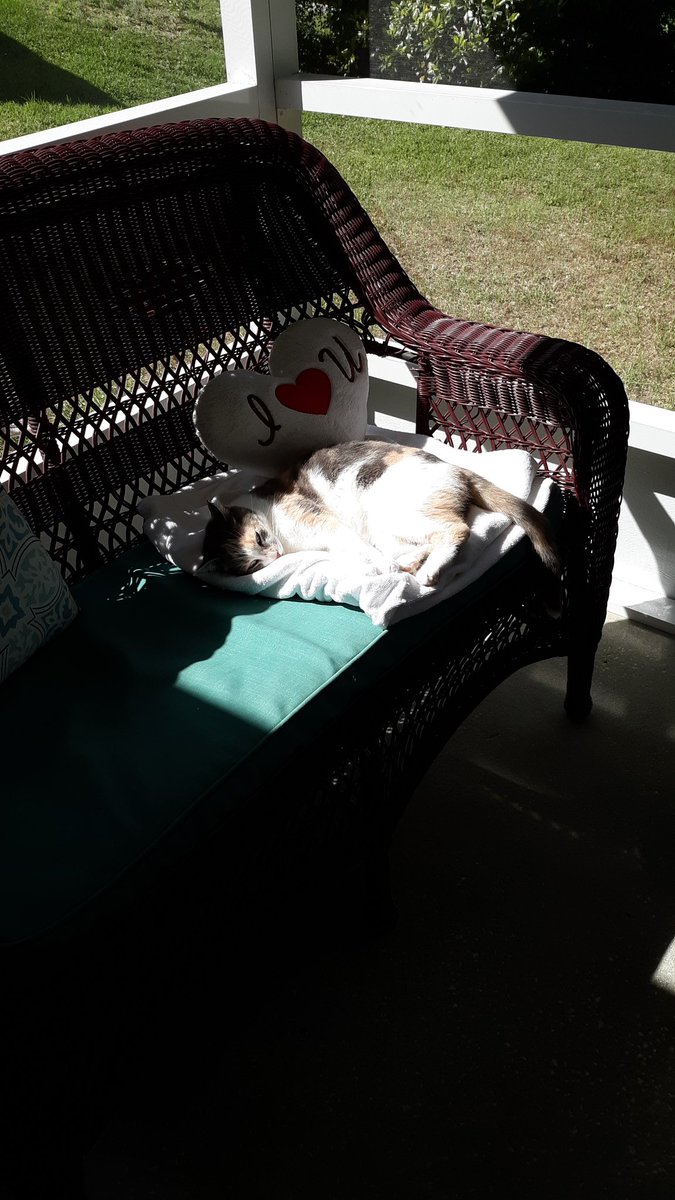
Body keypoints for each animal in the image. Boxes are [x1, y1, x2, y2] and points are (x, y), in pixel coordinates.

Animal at [199, 441, 557, 590]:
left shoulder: (323, 522)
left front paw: (385, 569)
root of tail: (455, 468)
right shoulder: (332, 541)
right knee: (420, 543)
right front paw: (391, 565)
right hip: (384, 527)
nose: (273, 555)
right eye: (253, 566)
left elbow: (362, 550)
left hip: (396, 512)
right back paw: (415, 562)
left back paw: (427, 571)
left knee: (457, 530)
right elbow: (359, 551)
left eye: (259, 538)